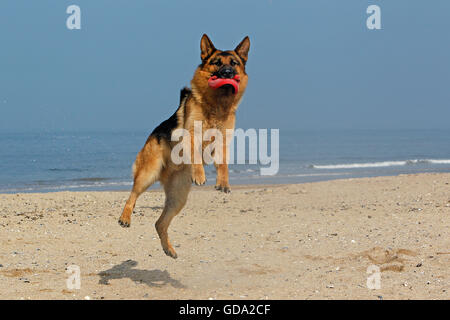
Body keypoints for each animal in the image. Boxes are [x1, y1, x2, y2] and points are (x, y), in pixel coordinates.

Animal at [118, 35, 250, 258]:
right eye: (217, 63)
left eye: (234, 63)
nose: (227, 73)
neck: (217, 105)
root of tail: (165, 175)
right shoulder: (191, 136)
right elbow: (196, 155)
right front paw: (200, 175)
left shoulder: (222, 143)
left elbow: (223, 165)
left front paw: (223, 182)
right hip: (148, 173)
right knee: (132, 196)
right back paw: (125, 218)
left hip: (177, 198)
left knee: (159, 223)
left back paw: (168, 248)